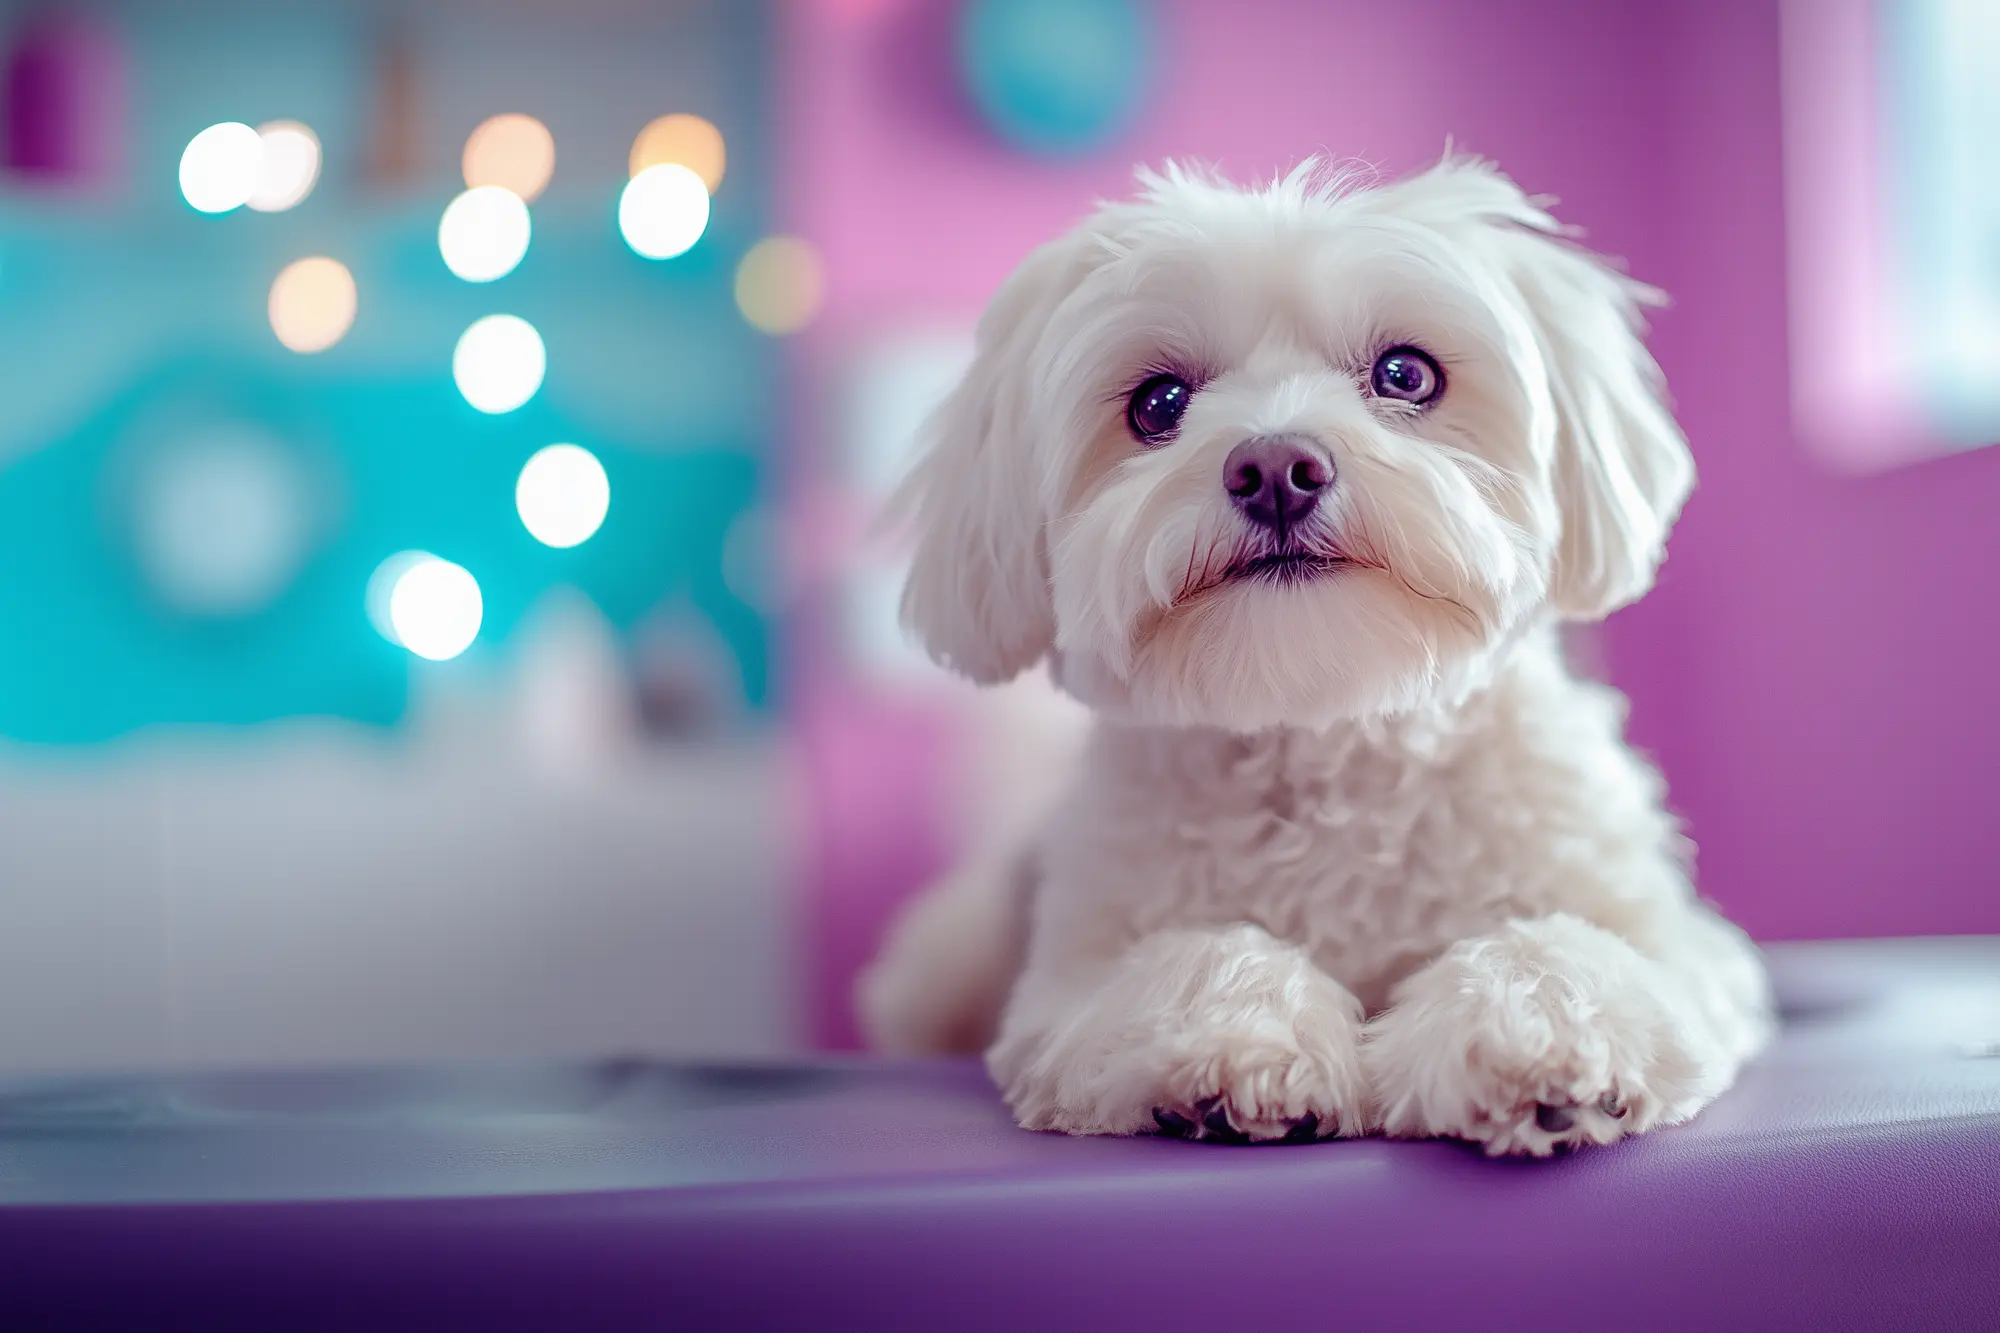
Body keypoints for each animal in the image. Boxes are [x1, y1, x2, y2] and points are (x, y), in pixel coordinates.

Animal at [856, 156, 1768, 1152]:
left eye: (1406, 373)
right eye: (1158, 404)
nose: (1275, 469)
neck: (1331, 726)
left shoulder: (1686, 951)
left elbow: (1567, 946)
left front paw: (1538, 1034)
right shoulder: (1067, 987)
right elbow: (1191, 959)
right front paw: (1235, 1042)